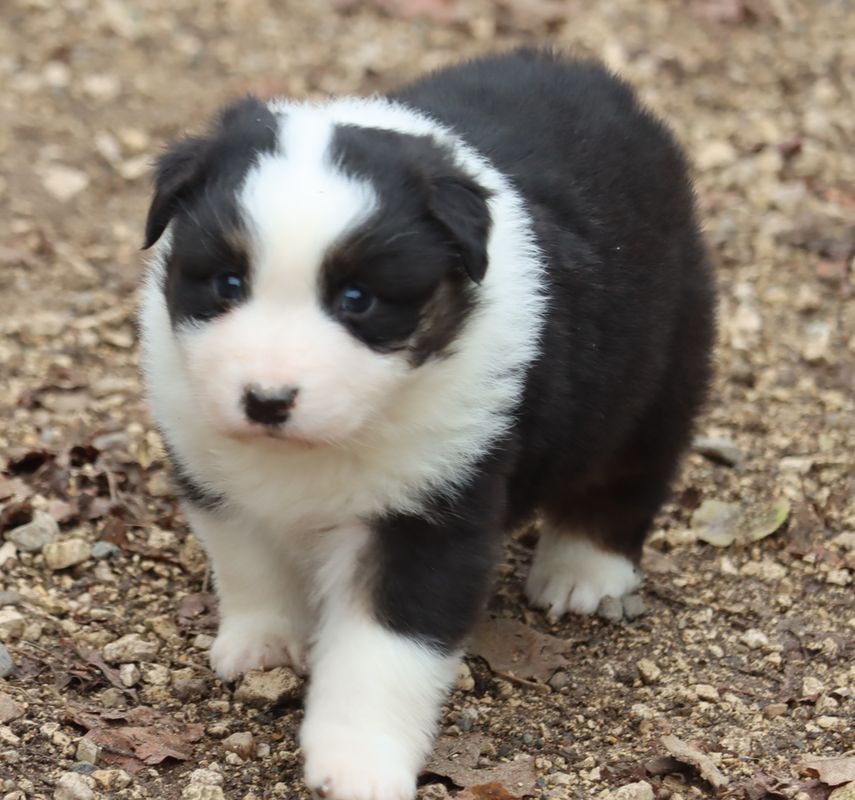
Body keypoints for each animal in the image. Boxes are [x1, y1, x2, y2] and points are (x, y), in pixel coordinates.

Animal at [140, 48, 716, 800]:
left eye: (358, 299)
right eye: (227, 284)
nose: (267, 400)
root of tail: (599, 81)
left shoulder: (433, 510)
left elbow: (383, 649)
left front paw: (358, 763)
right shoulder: (213, 467)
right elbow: (250, 562)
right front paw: (265, 644)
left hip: (660, 355)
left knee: (629, 470)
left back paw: (582, 572)